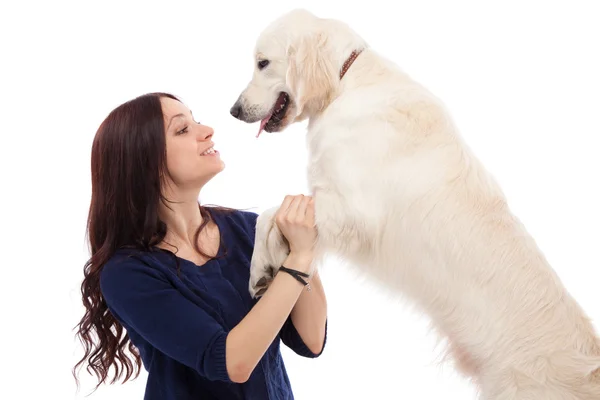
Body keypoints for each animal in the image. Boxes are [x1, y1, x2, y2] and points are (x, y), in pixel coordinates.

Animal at [229, 7, 600, 398]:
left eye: (262, 63)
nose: (234, 110)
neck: (345, 82)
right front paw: (269, 267)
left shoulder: (351, 213)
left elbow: (267, 213)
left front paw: (258, 270)